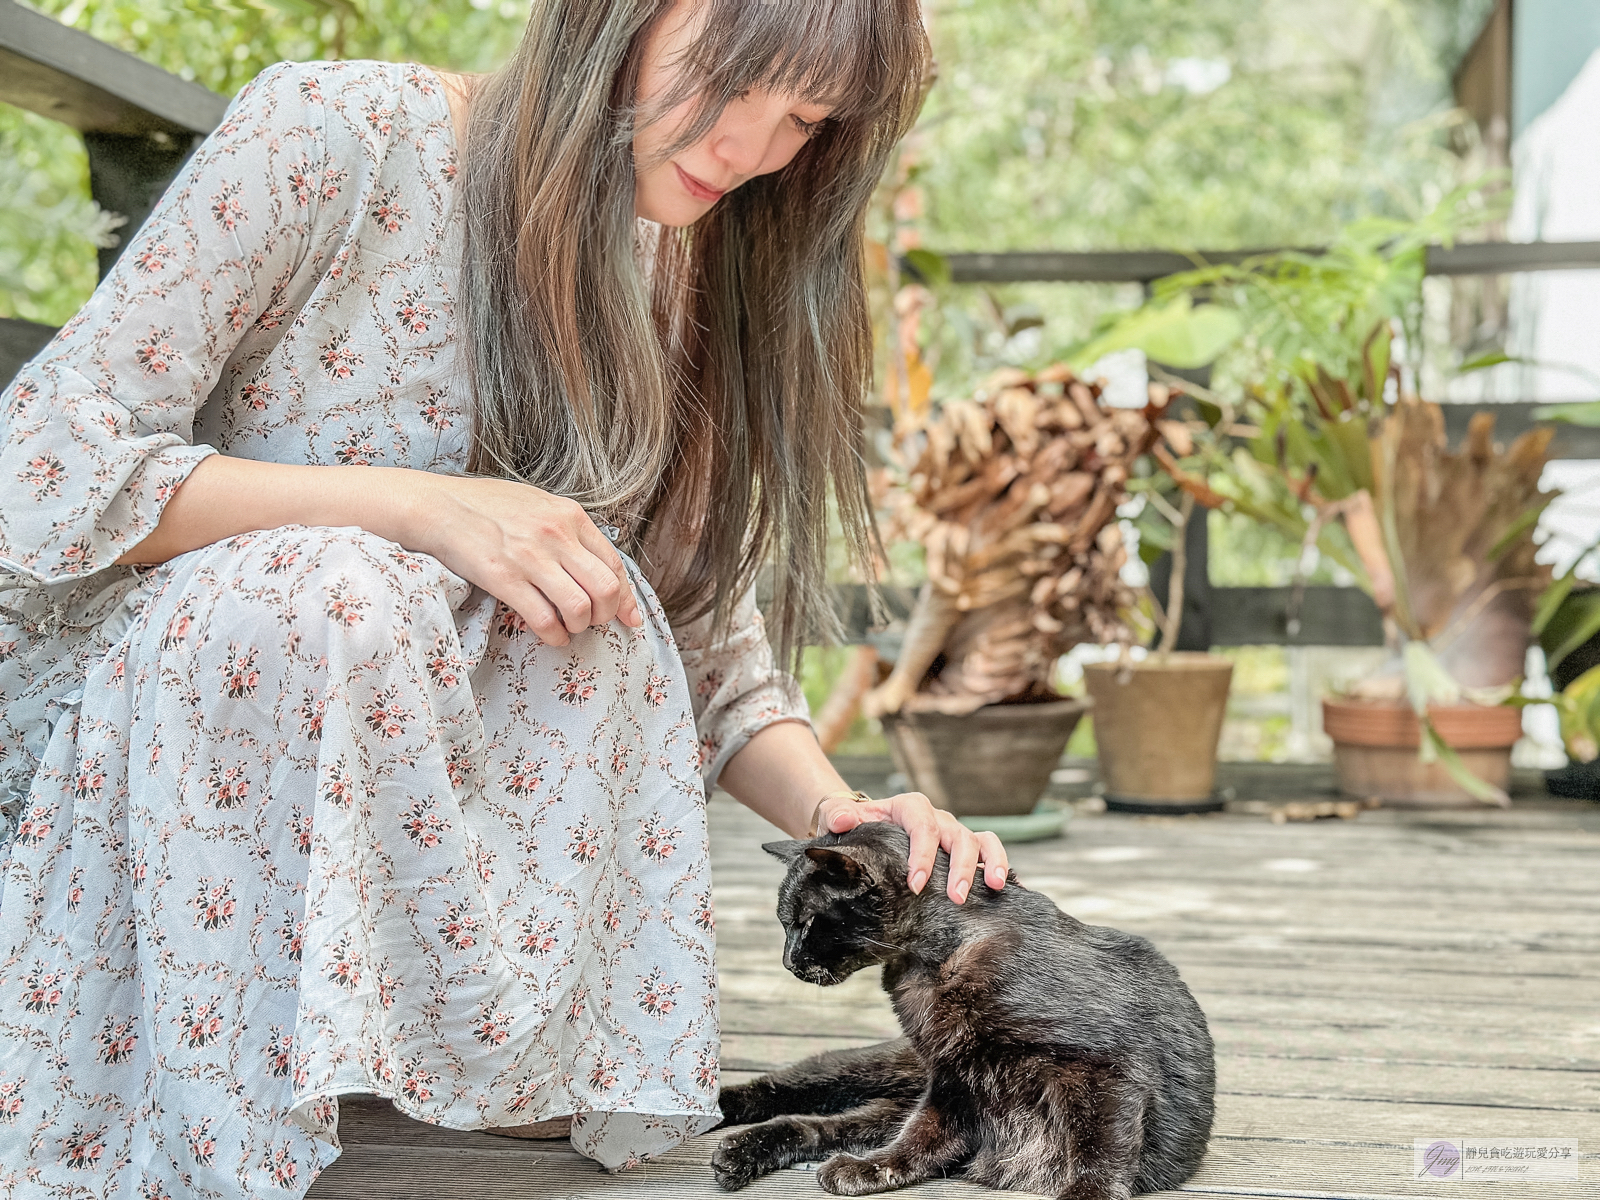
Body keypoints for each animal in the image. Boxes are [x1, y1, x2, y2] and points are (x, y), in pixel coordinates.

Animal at [713, 825, 1209, 1200]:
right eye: (787, 925)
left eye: (805, 923)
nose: (787, 960)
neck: (932, 965)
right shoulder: (954, 1079)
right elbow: (920, 1138)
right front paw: (875, 1169)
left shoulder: (1105, 1073)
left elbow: (1098, 1153)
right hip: (876, 1068)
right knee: (794, 1086)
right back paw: (718, 1115)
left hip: (888, 1099)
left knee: (824, 1126)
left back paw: (740, 1152)